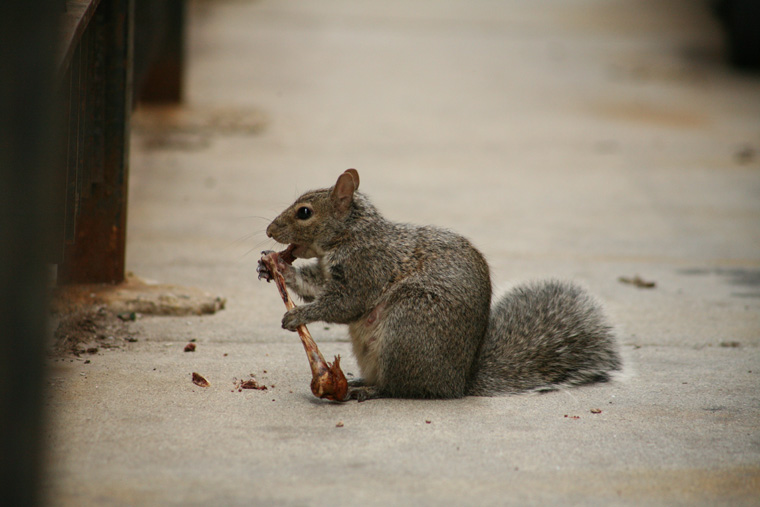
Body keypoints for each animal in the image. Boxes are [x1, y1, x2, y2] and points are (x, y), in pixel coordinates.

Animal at [258, 171, 620, 400]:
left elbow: (343, 304)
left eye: (304, 212)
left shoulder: (367, 267)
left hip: (409, 325)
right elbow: (313, 284)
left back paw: (368, 391)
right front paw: (275, 267)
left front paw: (299, 315)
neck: (353, 234)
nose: (269, 231)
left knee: (399, 388)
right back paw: (359, 380)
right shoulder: (329, 272)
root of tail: (456, 383)